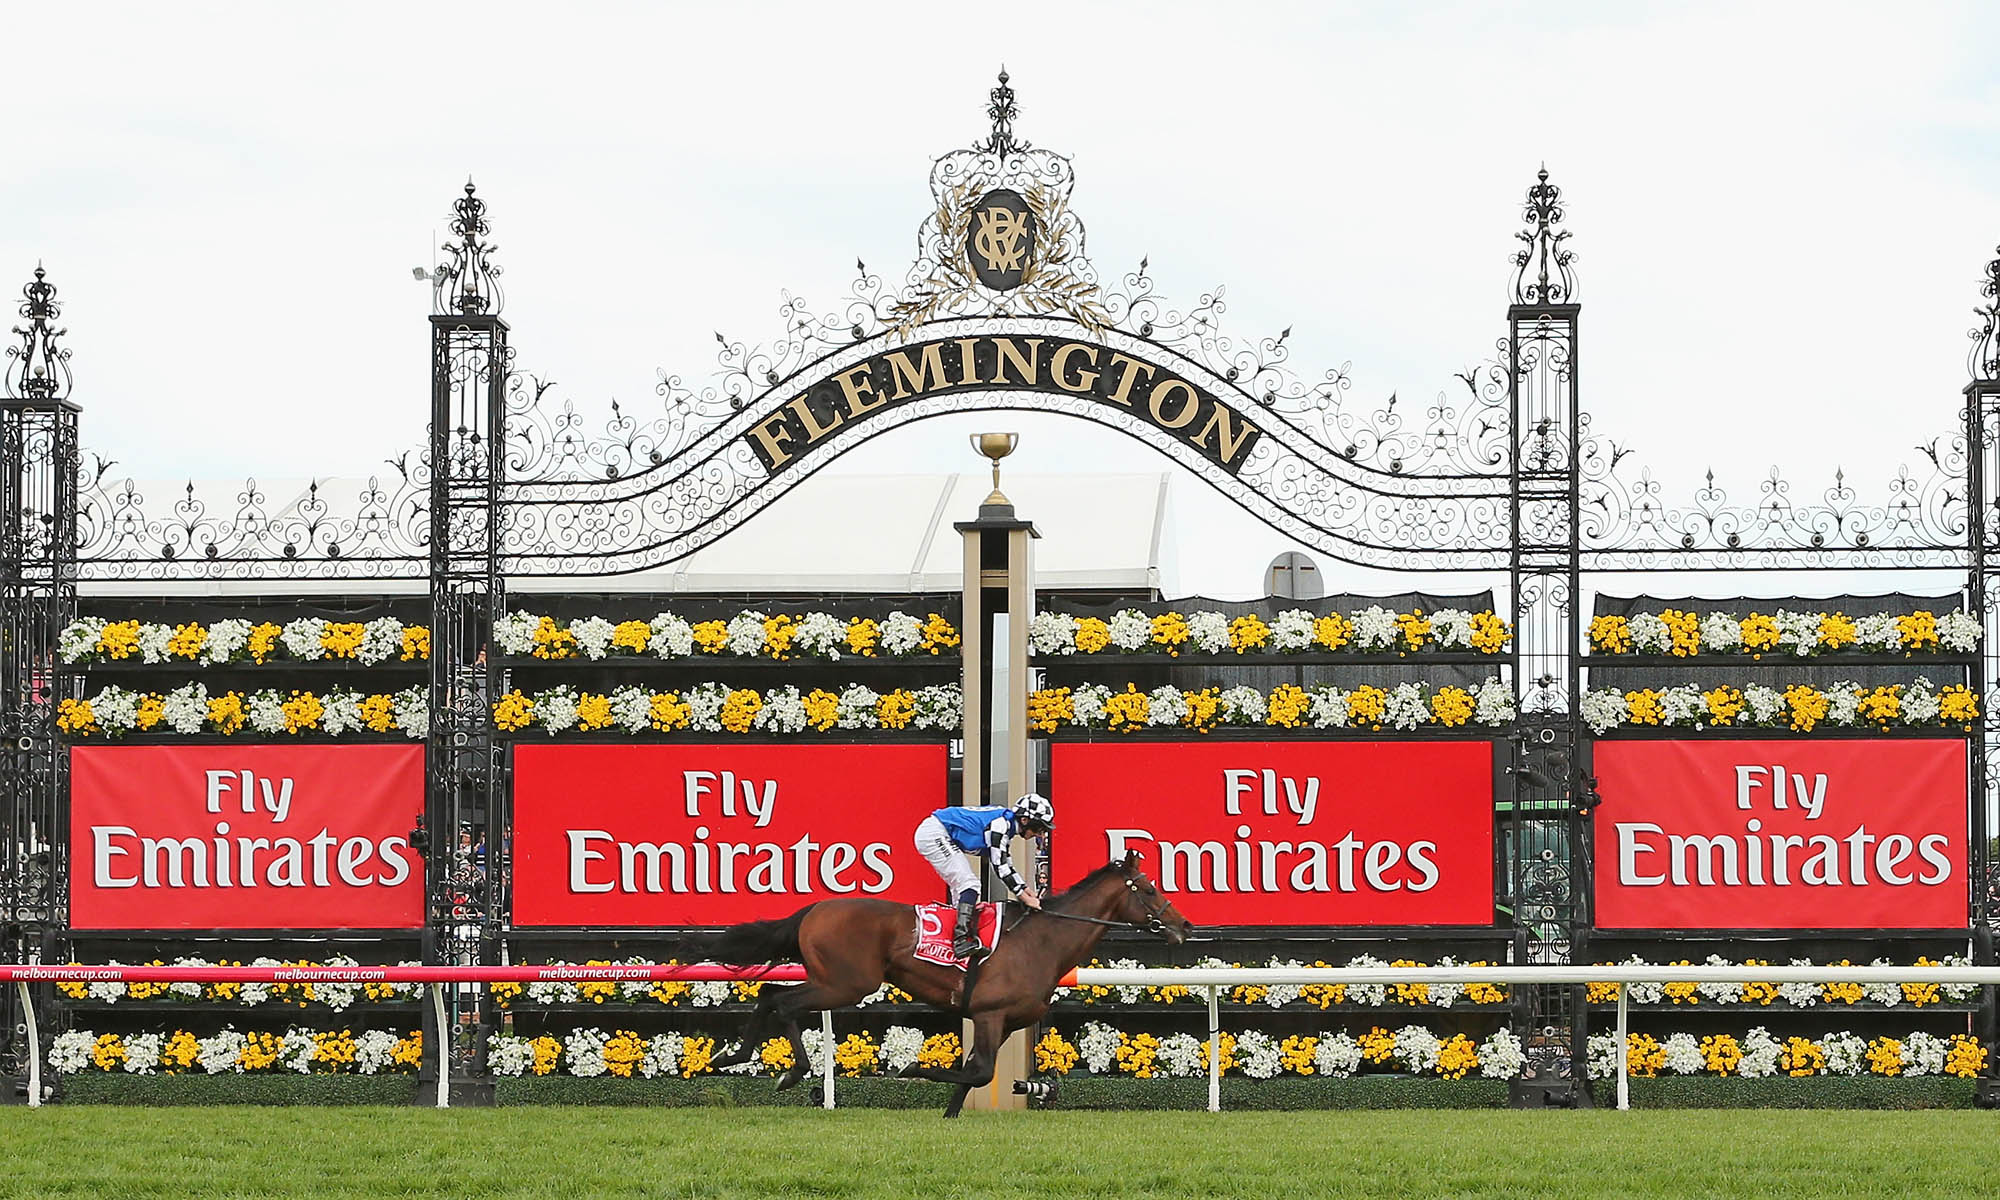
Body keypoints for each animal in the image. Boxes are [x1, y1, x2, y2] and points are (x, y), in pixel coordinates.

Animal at [692, 852, 1184, 1112]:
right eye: (1151, 888)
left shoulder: (1003, 1023)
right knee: (785, 1003)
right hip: (848, 983)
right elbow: (981, 1072)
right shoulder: (989, 1013)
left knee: (769, 994)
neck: (1040, 940)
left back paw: (731, 1054)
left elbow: (973, 1072)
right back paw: (789, 1072)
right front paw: (910, 1069)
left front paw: (950, 1114)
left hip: (833, 980)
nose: (1184, 926)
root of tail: (814, 909)